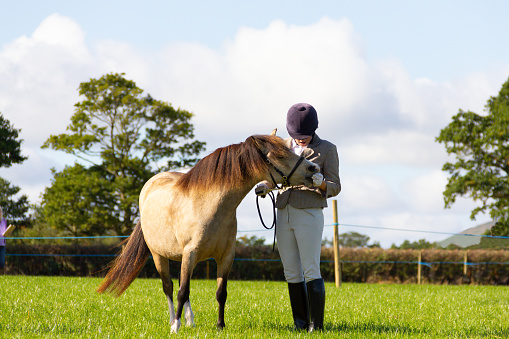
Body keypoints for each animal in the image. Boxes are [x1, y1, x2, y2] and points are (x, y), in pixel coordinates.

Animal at [96, 132, 318, 334]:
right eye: (279, 155)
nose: (313, 168)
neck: (209, 206)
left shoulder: (225, 257)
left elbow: (220, 292)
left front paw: (220, 326)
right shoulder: (190, 253)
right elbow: (181, 291)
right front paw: (175, 328)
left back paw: (190, 321)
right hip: (159, 255)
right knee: (169, 287)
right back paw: (173, 320)